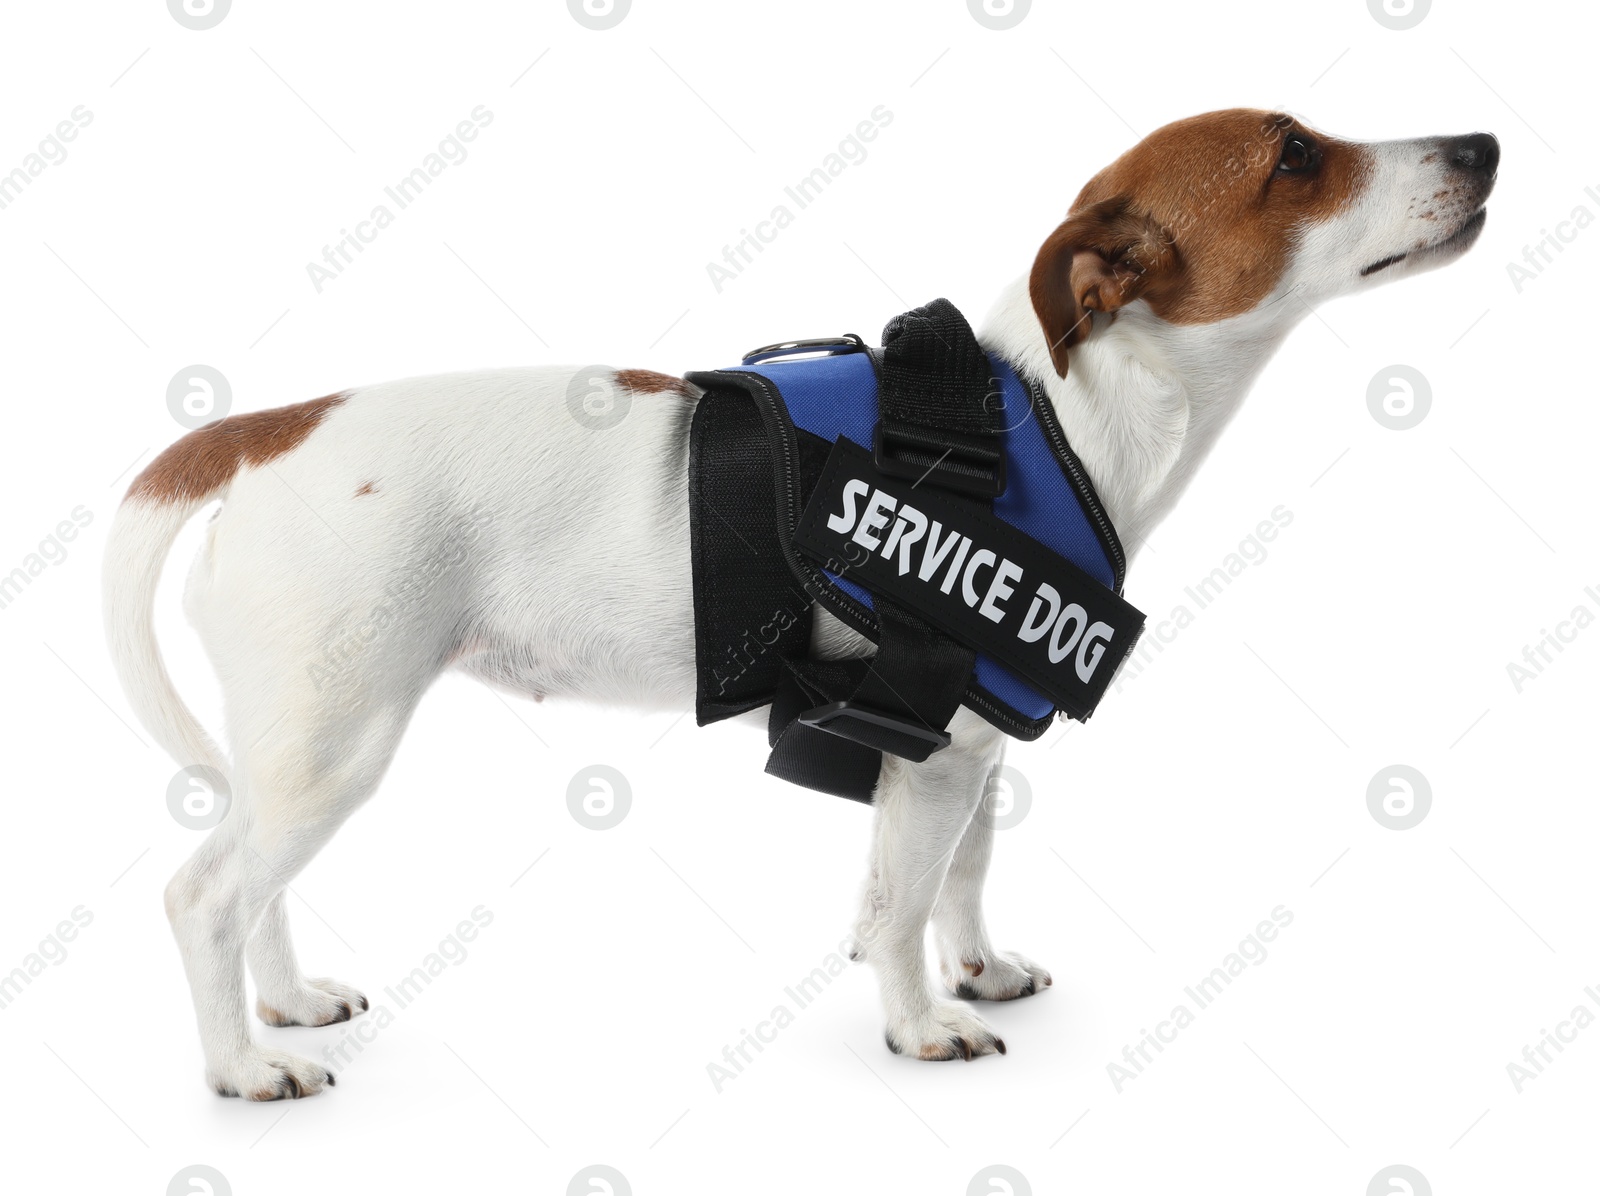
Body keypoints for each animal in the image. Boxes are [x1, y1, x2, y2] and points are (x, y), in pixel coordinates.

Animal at [103, 107, 1497, 1100]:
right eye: (1296, 153)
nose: (1485, 144)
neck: (1046, 414)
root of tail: (273, 427)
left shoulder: (967, 749)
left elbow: (962, 878)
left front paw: (977, 970)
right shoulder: (924, 760)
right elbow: (895, 907)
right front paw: (920, 1022)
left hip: (294, 754)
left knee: (252, 888)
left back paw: (282, 1002)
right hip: (332, 746)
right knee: (205, 897)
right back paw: (240, 1064)